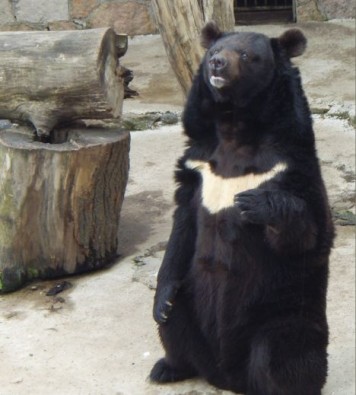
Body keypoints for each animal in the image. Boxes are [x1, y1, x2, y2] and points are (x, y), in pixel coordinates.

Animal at [149, 22, 334, 395]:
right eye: (213, 50)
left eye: (248, 55)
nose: (217, 64)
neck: (235, 128)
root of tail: (228, 377)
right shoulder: (197, 168)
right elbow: (183, 227)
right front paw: (160, 302)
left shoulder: (291, 164)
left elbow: (313, 232)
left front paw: (254, 203)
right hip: (192, 300)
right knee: (174, 321)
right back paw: (168, 366)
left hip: (281, 315)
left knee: (284, 355)